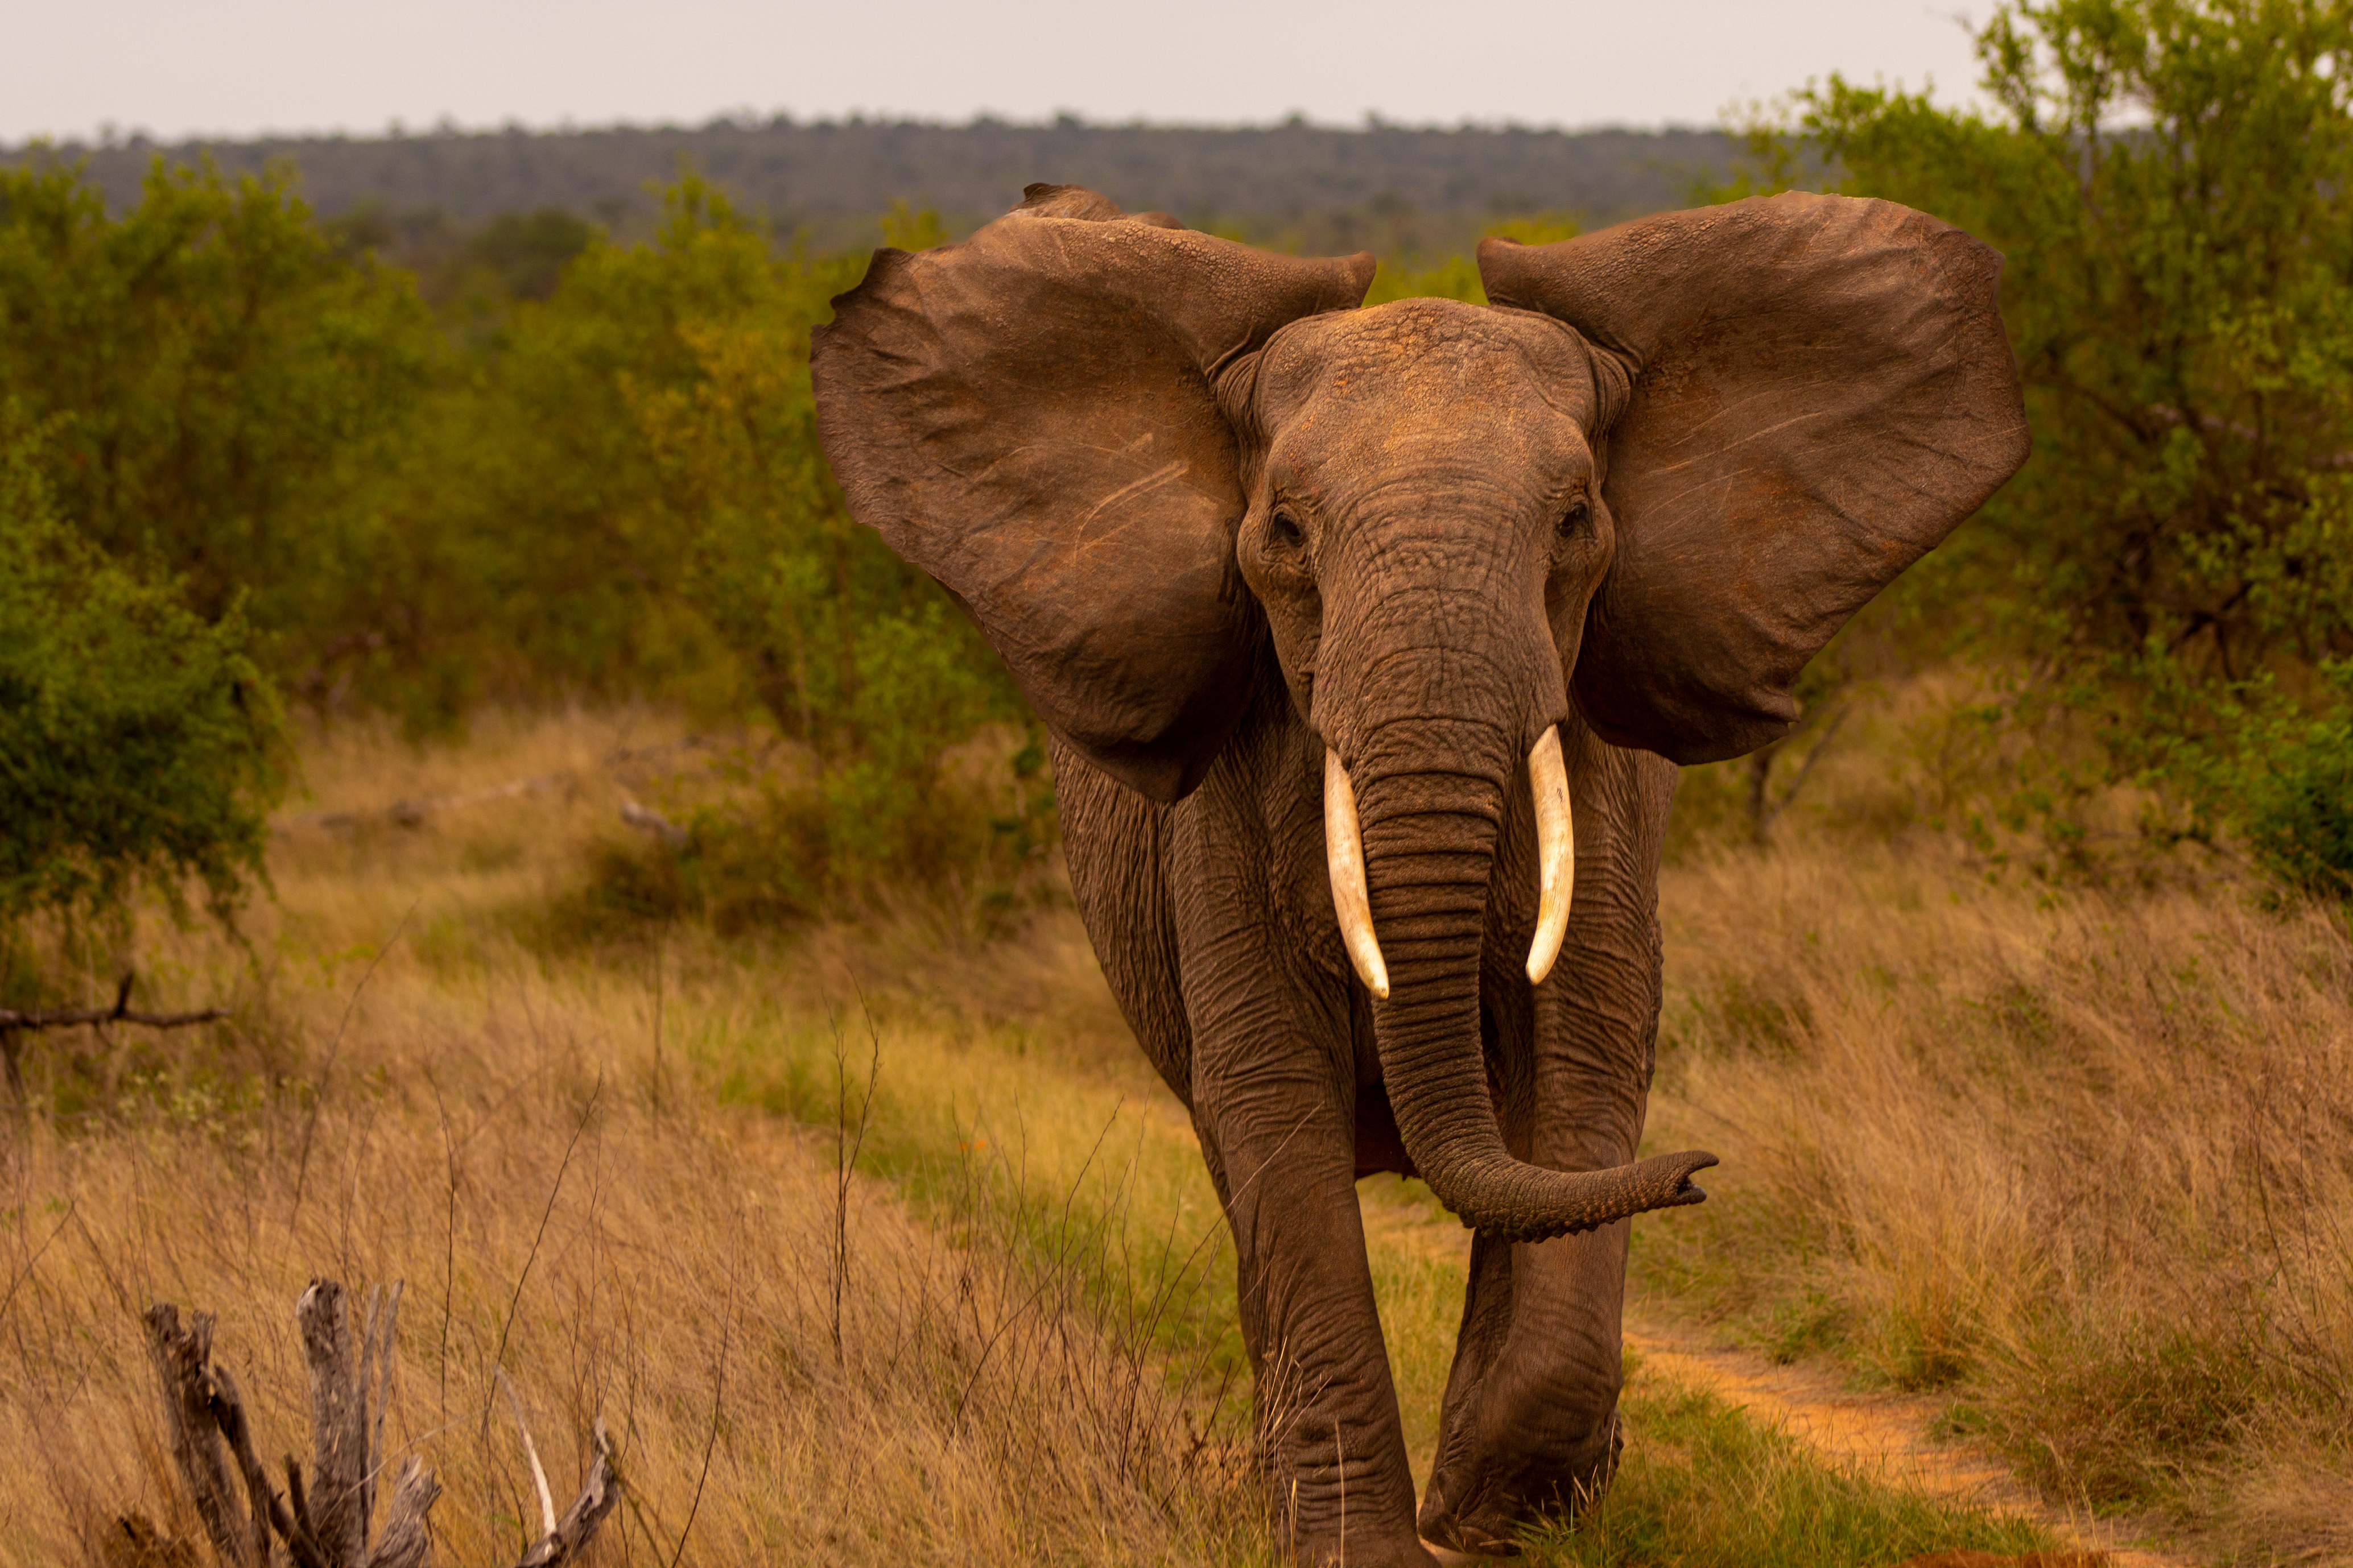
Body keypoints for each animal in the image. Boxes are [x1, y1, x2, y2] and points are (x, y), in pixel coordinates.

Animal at [811, 182, 2027, 1564]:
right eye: (1285, 532)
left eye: (1574, 523)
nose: (1699, 1171)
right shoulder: (1226, 793)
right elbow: (1272, 1103)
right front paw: (1368, 1545)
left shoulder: (1602, 783)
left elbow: (1580, 1071)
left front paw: (1499, 1515)